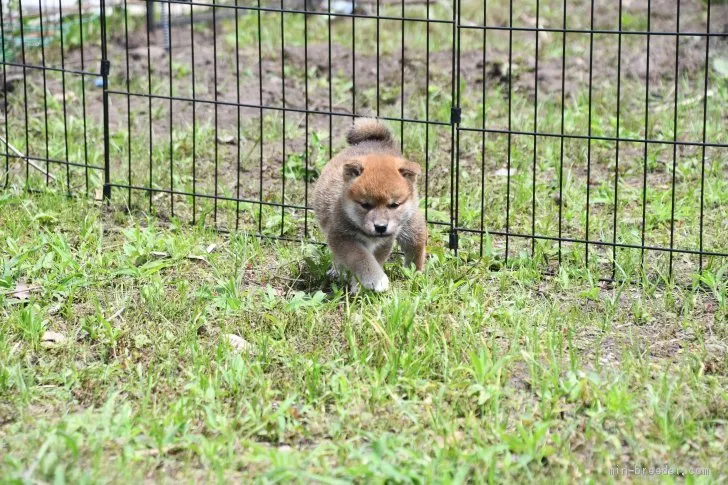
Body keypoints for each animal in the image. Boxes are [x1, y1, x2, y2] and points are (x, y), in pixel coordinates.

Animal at [312, 118, 426, 292]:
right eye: (365, 205)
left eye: (394, 205)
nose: (380, 227)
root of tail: (380, 142)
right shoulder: (341, 236)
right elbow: (361, 258)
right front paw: (373, 279)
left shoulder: (384, 241)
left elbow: (374, 259)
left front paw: (363, 284)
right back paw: (336, 272)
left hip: (411, 224)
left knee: (417, 244)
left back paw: (415, 274)